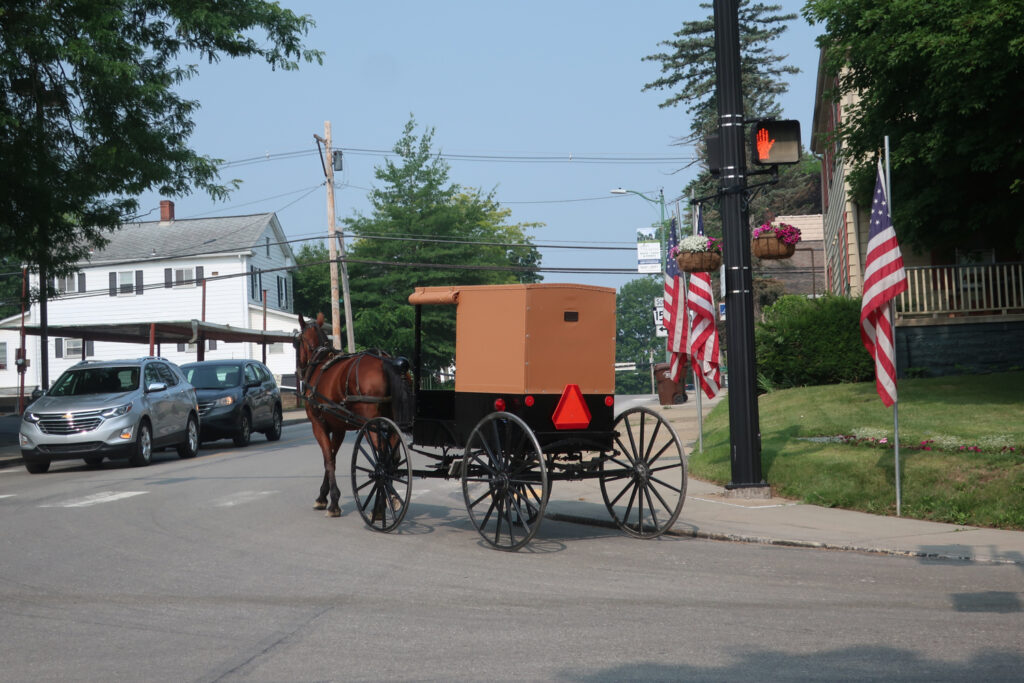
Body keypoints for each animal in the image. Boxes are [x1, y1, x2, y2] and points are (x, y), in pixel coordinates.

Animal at [296, 315, 395, 518]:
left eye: (297, 341)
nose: (299, 370)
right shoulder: (339, 428)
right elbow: (332, 457)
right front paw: (323, 497)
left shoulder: (317, 425)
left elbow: (328, 459)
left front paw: (333, 502)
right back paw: (392, 499)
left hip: (372, 425)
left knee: (382, 459)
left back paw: (379, 507)